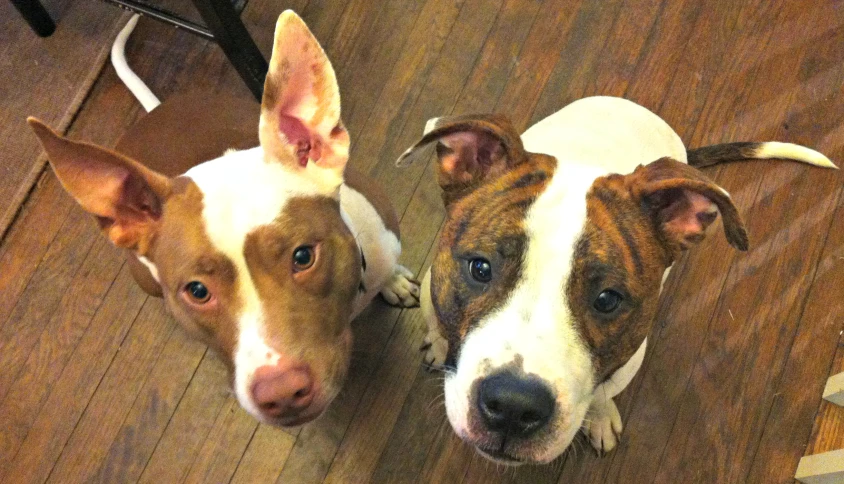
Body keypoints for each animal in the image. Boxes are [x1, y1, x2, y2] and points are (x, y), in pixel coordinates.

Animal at [398, 97, 836, 466]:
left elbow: (602, 393)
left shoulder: (626, 361)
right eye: (480, 268)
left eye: (608, 299)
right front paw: (439, 343)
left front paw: (600, 416)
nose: (513, 407)